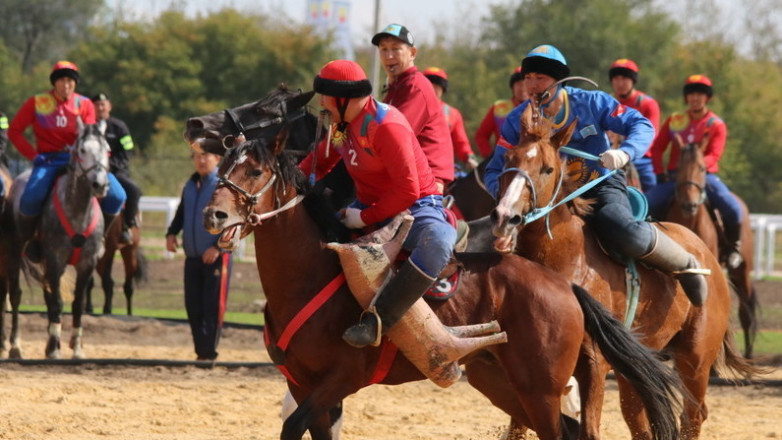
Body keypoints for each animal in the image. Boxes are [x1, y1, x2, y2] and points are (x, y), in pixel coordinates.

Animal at [4, 123, 112, 358]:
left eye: (107, 150)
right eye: (82, 150)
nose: (99, 184)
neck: (78, 210)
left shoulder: (87, 263)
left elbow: (77, 303)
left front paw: (76, 348)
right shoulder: (55, 259)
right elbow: (58, 302)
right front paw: (54, 348)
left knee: (46, 296)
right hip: (13, 253)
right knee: (15, 294)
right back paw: (15, 346)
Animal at [202, 132, 688, 440]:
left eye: (255, 170)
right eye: (223, 166)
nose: (214, 214)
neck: (311, 276)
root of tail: (566, 288)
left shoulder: (339, 380)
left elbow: (291, 425)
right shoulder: (304, 386)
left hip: (542, 389)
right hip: (502, 383)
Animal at [668, 139, 760, 360]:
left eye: (702, 168)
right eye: (678, 169)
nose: (690, 204)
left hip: (742, 270)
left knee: (746, 311)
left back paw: (748, 354)